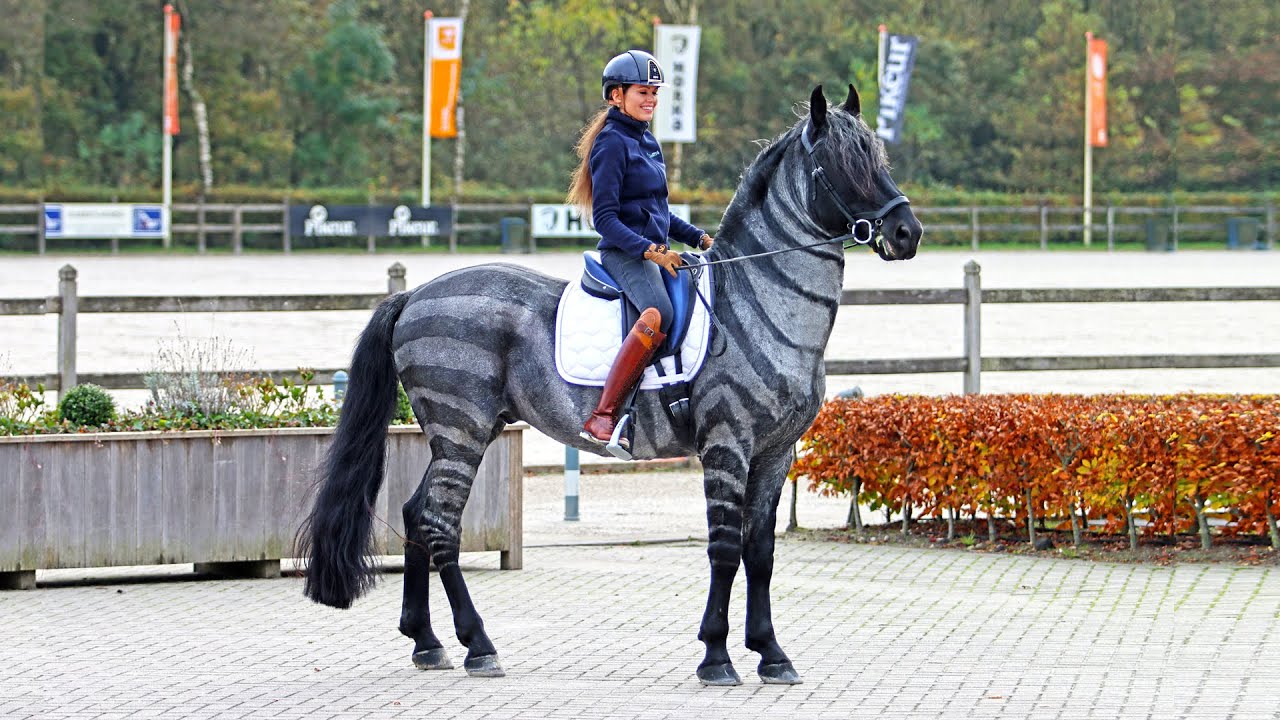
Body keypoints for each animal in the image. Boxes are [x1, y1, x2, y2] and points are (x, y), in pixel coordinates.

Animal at [299, 83, 921, 681]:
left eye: (879, 157)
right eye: (841, 165)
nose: (907, 233)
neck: (759, 302)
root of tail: (414, 295)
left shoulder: (774, 452)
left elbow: (760, 553)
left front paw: (771, 654)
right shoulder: (728, 444)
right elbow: (724, 550)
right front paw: (716, 656)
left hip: (464, 432)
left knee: (414, 514)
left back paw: (427, 643)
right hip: (461, 430)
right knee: (438, 523)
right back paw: (478, 646)